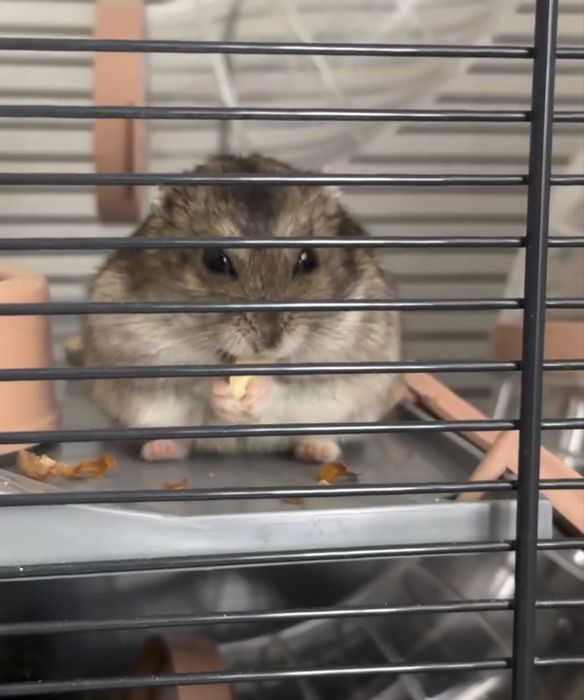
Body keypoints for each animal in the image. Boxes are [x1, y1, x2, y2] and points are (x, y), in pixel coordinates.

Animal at [82, 153, 401, 463]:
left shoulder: (344, 365)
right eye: (215, 261)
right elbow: (195, 387)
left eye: (308, 259)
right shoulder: (141, 355)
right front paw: (225, 396)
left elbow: (289, 389)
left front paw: (257, 392)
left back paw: (317, 451)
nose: (269, 343)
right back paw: (159, 450)